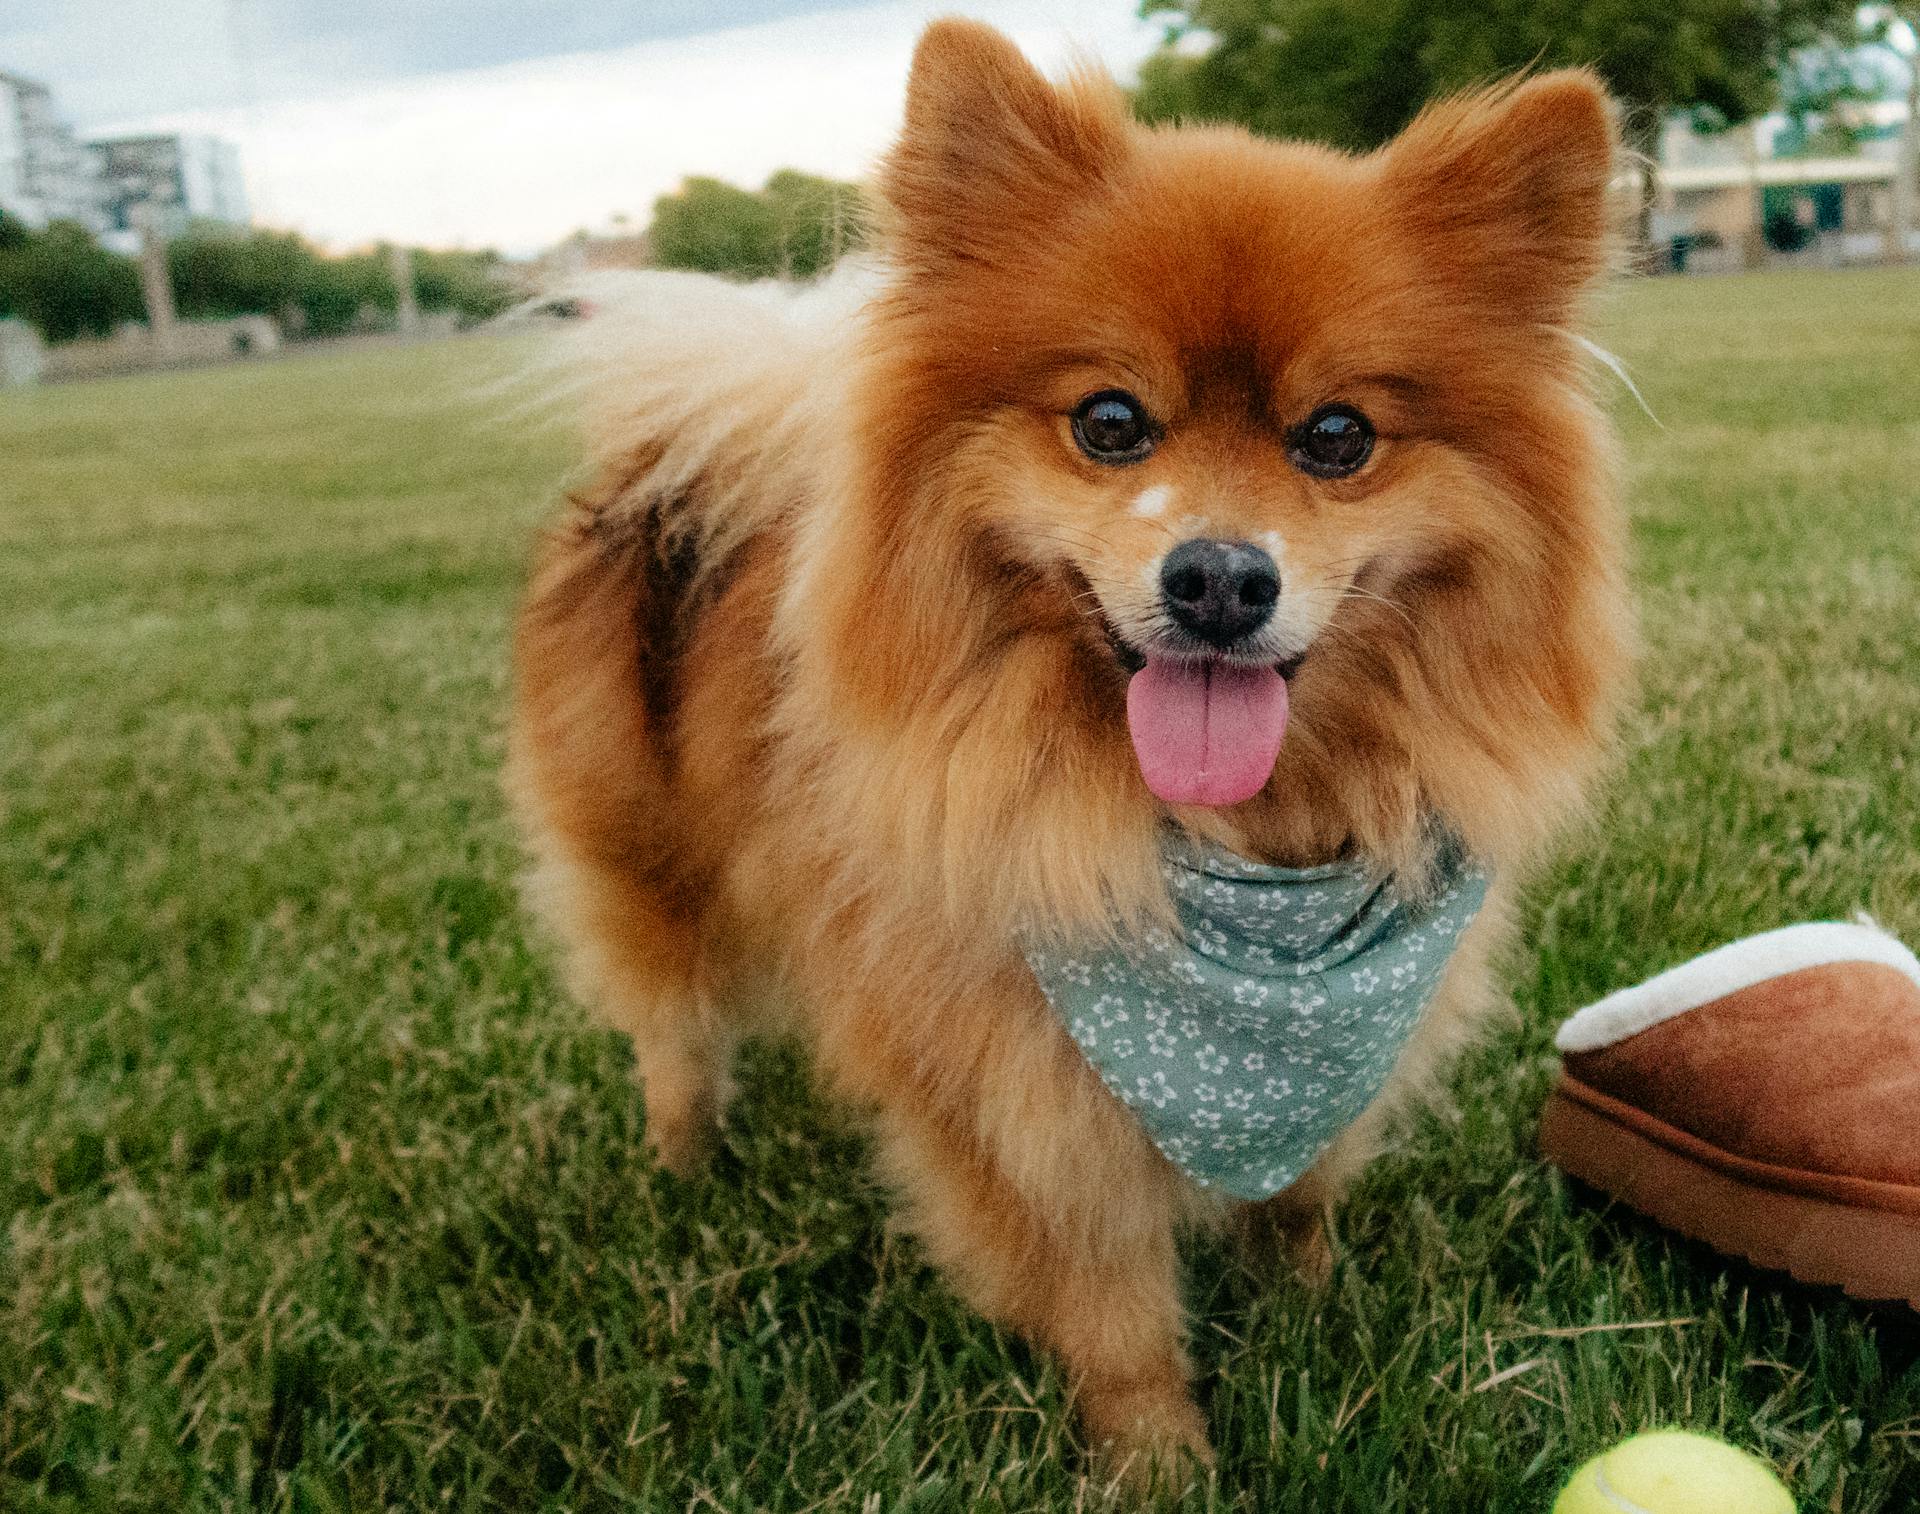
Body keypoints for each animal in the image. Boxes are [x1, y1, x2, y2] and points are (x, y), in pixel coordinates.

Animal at [503, 14, 1628, 1473]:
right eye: (1110, 423)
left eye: (1336, 437)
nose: (1219, 576)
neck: (1234, 849)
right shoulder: (1017, 1091)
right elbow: (1109, 1303)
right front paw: (1160, 1463)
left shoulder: (1335, 1061)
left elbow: (1297, 1197)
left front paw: (1313, 1318)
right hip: (648, 863)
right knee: (674, 1030)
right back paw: (687, 1167)